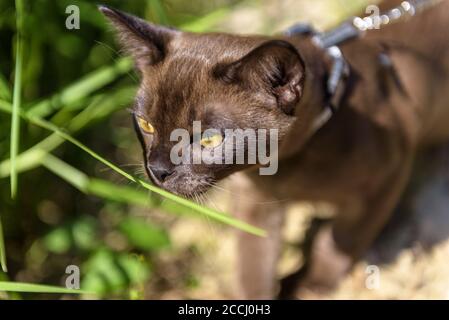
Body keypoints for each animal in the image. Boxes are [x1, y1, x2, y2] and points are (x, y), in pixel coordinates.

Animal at [100, 0, 448, 298]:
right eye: (146, 125)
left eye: (208, 139)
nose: (157, 171)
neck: (289, 167)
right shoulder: (256, 203)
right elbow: (253, 267)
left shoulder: (385, 184)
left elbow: (335, 245)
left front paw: (311, 288)